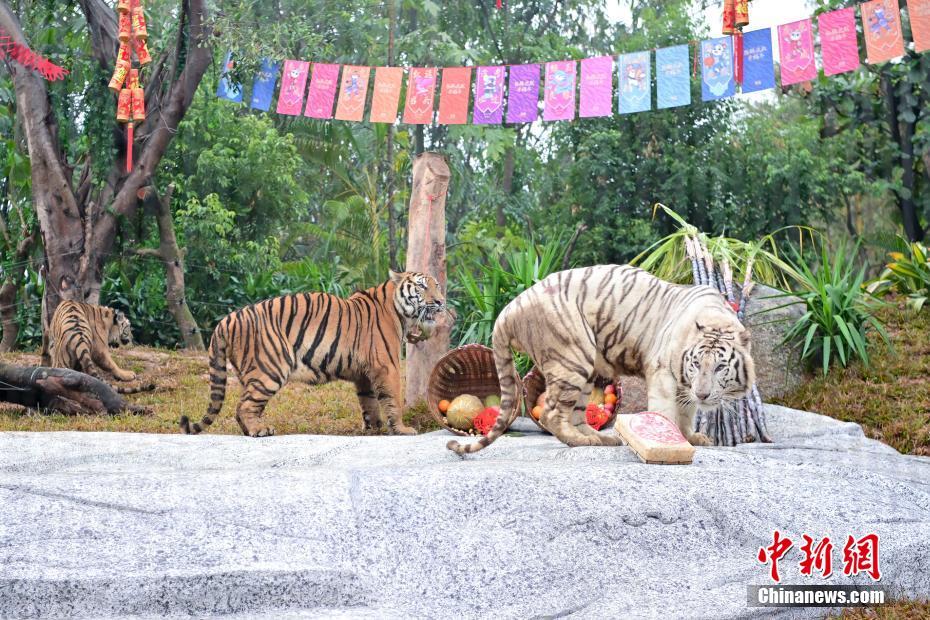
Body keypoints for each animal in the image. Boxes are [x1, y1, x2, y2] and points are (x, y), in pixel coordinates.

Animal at [181, 270, 446, 436]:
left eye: (438, 286)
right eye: (422, 286)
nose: (441, 302)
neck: (401, 312)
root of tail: (226, 320)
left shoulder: (363, 373)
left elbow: (369, 401)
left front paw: (375, 428)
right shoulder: (387, 366)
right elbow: (392, 400)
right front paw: (401, 429)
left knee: (245, 406)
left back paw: (253, 429)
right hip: (270, 369)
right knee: (244, 406)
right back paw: (259, 431)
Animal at [446, 264, 752, 452]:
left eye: (720, 367)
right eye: (697, 364)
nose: (703, 394)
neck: (716, 318)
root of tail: (509, 309)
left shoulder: (684, 385)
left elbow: (687, 412)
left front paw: (692, 436)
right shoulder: (664, 372)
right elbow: (667, 412)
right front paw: (672, 438)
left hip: (586, 369)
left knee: (577, 414)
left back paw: (599, 438)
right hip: (572, 356)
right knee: (552, 413)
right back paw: (581, 442)